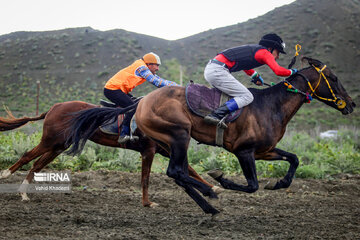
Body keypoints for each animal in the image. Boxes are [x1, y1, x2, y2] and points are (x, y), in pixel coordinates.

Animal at [0, 100, 219, 205]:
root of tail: (54, 107)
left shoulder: (164, 151)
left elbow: (191, 169)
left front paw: (213, 187)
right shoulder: (148, 151)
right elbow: (145, 178)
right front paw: (148, 203)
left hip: (59, 145)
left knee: (37, 164)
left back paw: (24, 193)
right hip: (51, 140)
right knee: (27, 156)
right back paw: (6, 175)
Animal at [64, 57, 354, 216]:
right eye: (333, 77)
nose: (350, 104)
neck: (270, 106)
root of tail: (142, 102)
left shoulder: (264, 151)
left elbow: (294, 159)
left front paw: (279, 183)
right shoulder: (244, 151)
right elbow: (252, 185)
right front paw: (221, 179)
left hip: (169, 142)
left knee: (179, 174)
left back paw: (209, 207)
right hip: (179, 135)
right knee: (176, 172)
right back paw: (211, 191)